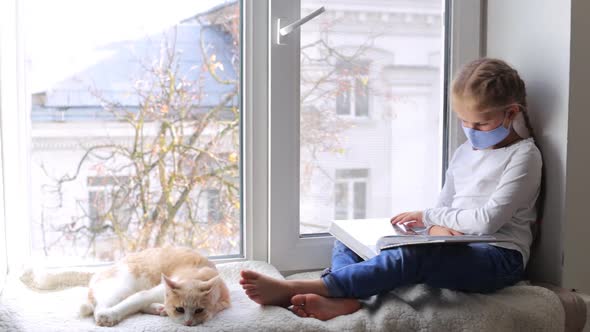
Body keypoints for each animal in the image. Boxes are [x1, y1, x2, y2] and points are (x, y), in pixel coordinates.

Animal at [81, 246, 231, 326]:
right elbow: (135, 300)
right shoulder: (156, 291)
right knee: (99, 307)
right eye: (180, 309)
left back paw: (159, 309)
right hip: (120, 288)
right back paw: (105, 316)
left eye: (199, 310)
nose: (188, 323)